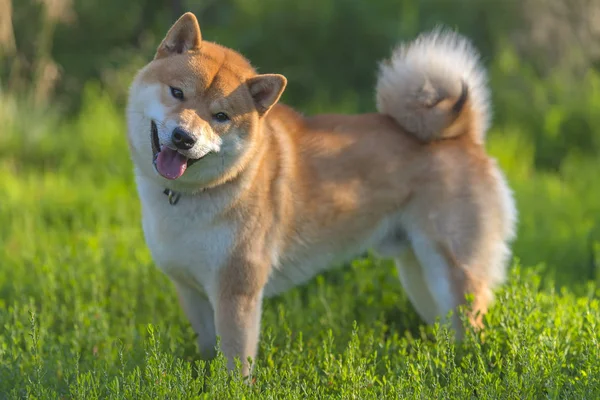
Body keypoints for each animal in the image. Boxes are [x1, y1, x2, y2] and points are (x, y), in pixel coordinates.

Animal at [125, 11, 516, 376]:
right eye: (177, 93)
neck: (191, 196)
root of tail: (466, 136)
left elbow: (235, 364)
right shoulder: (191, 290)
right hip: (419, 277)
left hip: (453, 275)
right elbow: (208, 352)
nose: (184, 138)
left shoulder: (236, 292)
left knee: (473, 328)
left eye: (220, 116)